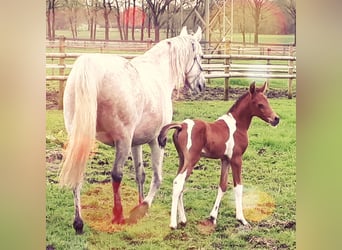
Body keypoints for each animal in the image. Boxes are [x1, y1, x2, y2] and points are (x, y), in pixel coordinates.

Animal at [159, 81, 280, 229]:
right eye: (260, 104)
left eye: (267, 101)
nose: (276, 119)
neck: (237, 125)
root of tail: (181, 126)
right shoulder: (236, 159)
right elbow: (238, 187)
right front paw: (241, 219)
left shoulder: (225, 159)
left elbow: (222, 186)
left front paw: (213, 217)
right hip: (192, 160)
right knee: (178, 182)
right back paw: (173, 223)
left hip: (182, 159)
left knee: (180, 185)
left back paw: (183, 219)